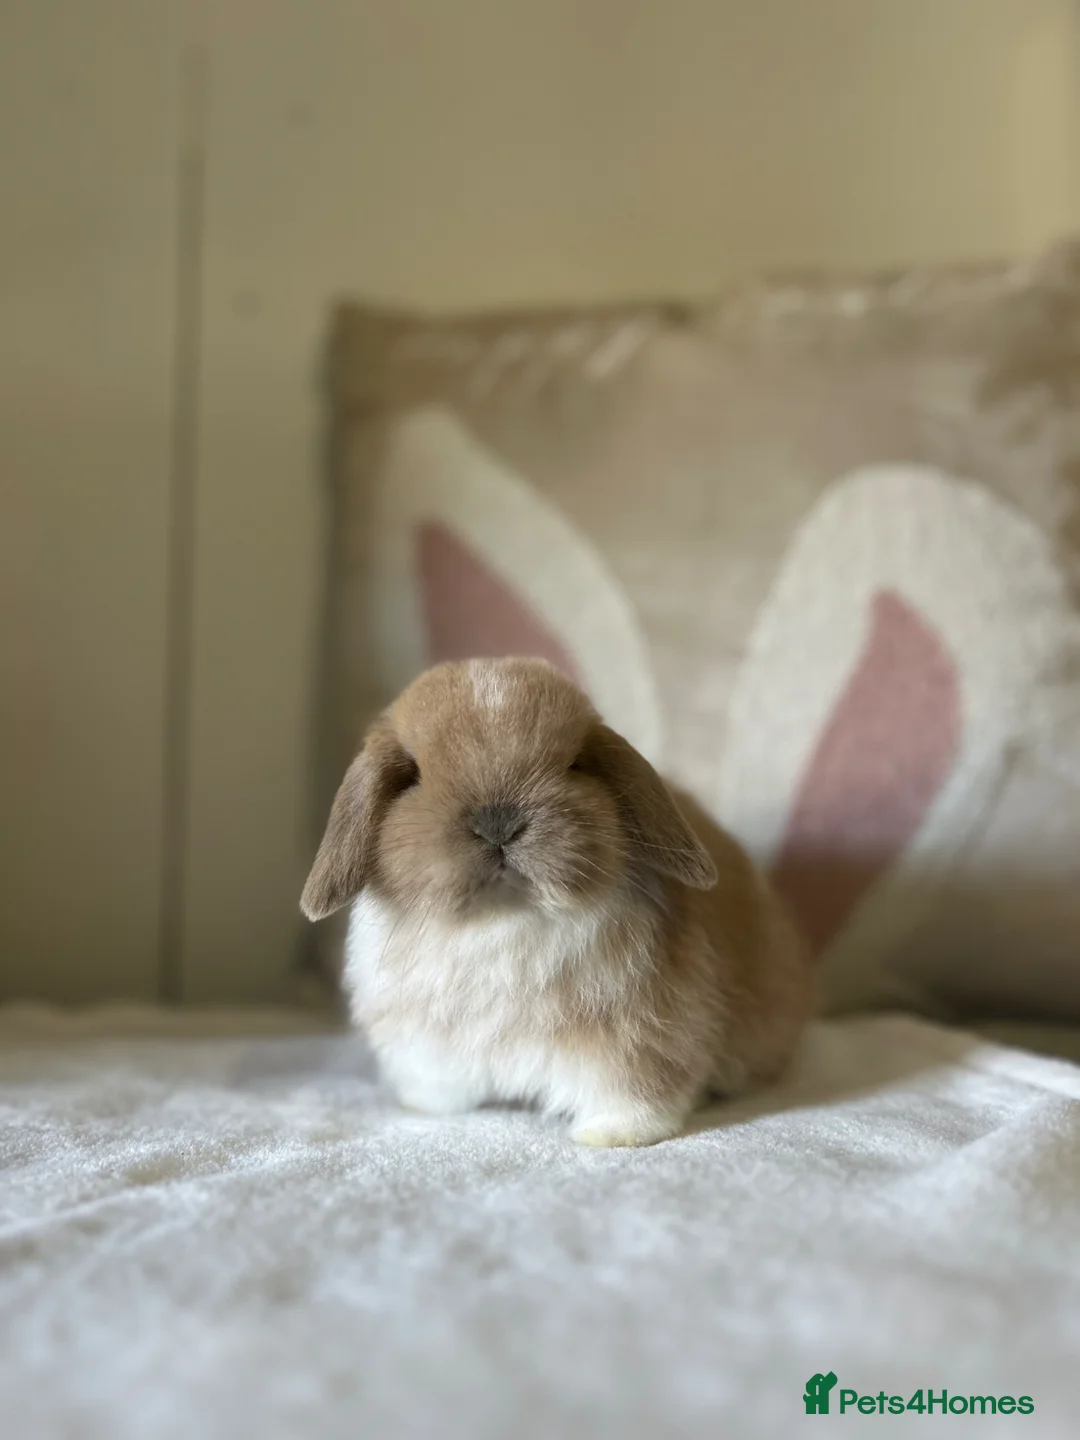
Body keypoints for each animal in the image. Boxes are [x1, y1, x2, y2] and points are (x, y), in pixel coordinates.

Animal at [301, 657, 815, 1147]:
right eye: (411, 776)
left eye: (575, 765)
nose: (499, 821)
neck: (502, 922)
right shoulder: (427, 1043)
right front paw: (425, 1106)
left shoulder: (638, 1038)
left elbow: (635, 1091)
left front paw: (613, 1136)